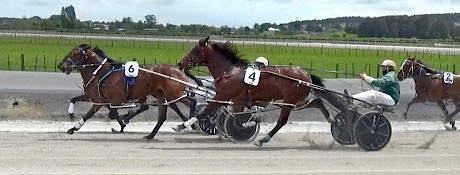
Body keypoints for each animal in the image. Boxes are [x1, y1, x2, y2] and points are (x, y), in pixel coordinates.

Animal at [57, 44, 194, 139]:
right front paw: (73, 125)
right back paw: (151, 135)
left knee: (192, 102)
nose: (61, 66)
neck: (101, 73)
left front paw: (123, 121)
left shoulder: (117, 98)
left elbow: (112, 114)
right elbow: (84, 110)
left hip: (174, 93)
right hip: (161, 94)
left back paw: (188, 123)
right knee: (162, 116)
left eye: (75, 53)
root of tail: (179, 71)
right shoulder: (98, 99)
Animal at [175, 37, 330, 146]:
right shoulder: (232, 100)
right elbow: (231, 119)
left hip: (290, 100)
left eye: (195, 49)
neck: (229, 72)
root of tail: (305, 74)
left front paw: (182, 125)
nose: (180, 63)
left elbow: (217, 115)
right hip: (297, 101)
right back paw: (330, 118)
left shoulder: (225, 97)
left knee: (282, 120)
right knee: (316, 101)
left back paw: (262, 140)